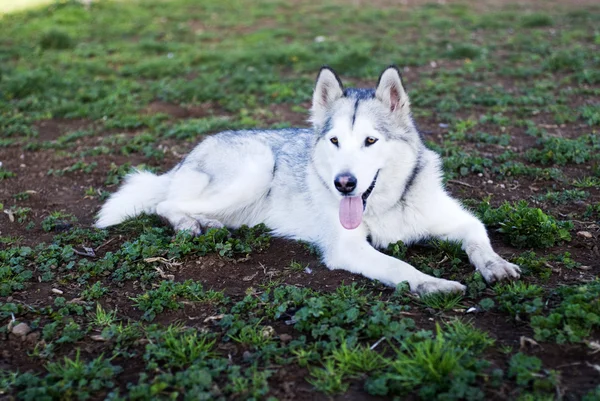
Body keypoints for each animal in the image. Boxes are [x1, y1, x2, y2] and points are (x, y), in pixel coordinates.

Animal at [97, 65, 520, 296]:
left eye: (370, 141)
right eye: (335, 141)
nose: (344, 184)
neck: (386, 206)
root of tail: (193, 150)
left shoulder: (460, 219)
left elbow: (479, 239)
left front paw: (495, 265)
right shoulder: (347, 248)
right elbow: (399, 267)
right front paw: (432, 284)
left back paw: (210, 223)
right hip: (256, 166)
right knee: (165, 203)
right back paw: (190, 223)